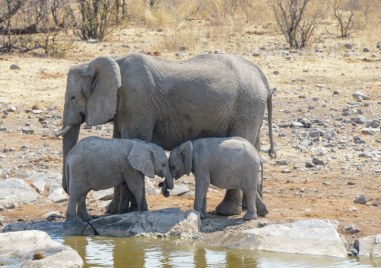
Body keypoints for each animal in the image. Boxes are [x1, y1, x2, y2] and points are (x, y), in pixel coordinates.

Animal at [57, 51, 274, 216]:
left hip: (246, 105)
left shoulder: (136, 102)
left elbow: (133, 142)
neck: (113, 62)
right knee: (254, 145)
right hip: (252, 107)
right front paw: (114, 211)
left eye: (73, 97)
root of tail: (262, 78)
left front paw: (127, 211)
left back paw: (227, 212)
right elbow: (119, 143)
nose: (166, 188)